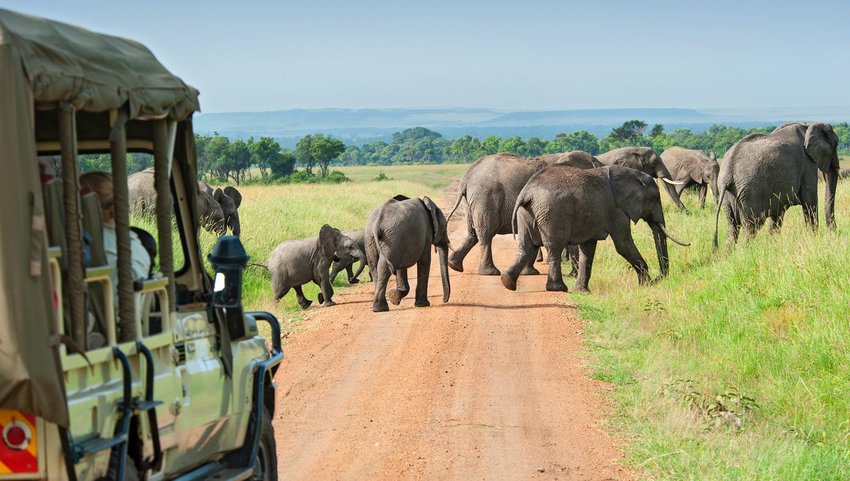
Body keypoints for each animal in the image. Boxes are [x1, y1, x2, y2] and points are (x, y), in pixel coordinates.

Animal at [448, 150, 600, 274]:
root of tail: (466, 177)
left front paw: (529, 272)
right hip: (485, 197)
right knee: (486, 233)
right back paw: (490, 272)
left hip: (471, 200)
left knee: (472, 233)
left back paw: (454, 265)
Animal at [496, 165, 688, 292]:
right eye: (655, 199)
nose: (659, 279)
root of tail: (527, 192)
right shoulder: (616, 210)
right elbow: (623, 245)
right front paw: (645, 285)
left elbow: (588, 248)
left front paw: (582, 292)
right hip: (552, 212)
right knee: (554, 247)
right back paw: (558, 288)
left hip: (526, 213)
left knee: (526, 246)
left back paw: (507, 282)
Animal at [712, 122, 840, 246]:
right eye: (837, 144)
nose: (833, 231)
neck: (808, 125)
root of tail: (728, 172)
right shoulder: (807, 164)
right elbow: (810, 202)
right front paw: (813, 238)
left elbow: (777, 214)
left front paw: (773, 242)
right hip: (750, 193)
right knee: (751, 227)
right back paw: (746, 250)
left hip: (729, 195)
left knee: (732, 228)